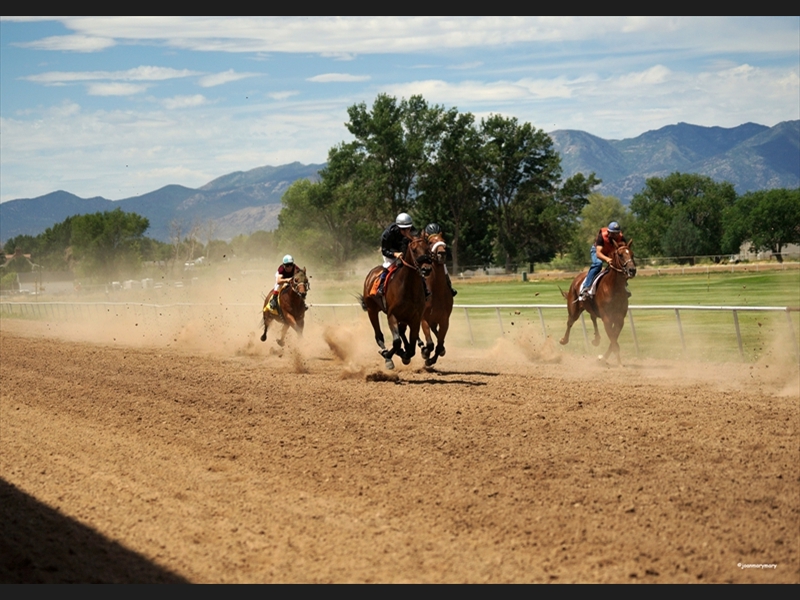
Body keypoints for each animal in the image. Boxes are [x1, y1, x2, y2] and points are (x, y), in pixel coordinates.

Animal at [358, 236, 432, 370]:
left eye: (428, 248)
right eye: (414, 250)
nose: (426, 269)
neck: (408, 286)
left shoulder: (415, 317)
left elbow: (411, 346)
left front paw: (406, 353)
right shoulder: (392, 315)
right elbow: (397, 341)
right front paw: (388, 355)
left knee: (402, 332)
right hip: (372, 310)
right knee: (379, 335)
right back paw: (386, 352)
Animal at [416, 233, 454, 366]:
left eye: (444, 241)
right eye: (430, 242)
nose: (441, 253)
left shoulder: (444, 320)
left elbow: (439, 344)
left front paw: (433, 358)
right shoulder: (424, 319)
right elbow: (430, 344)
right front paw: (426, 353)